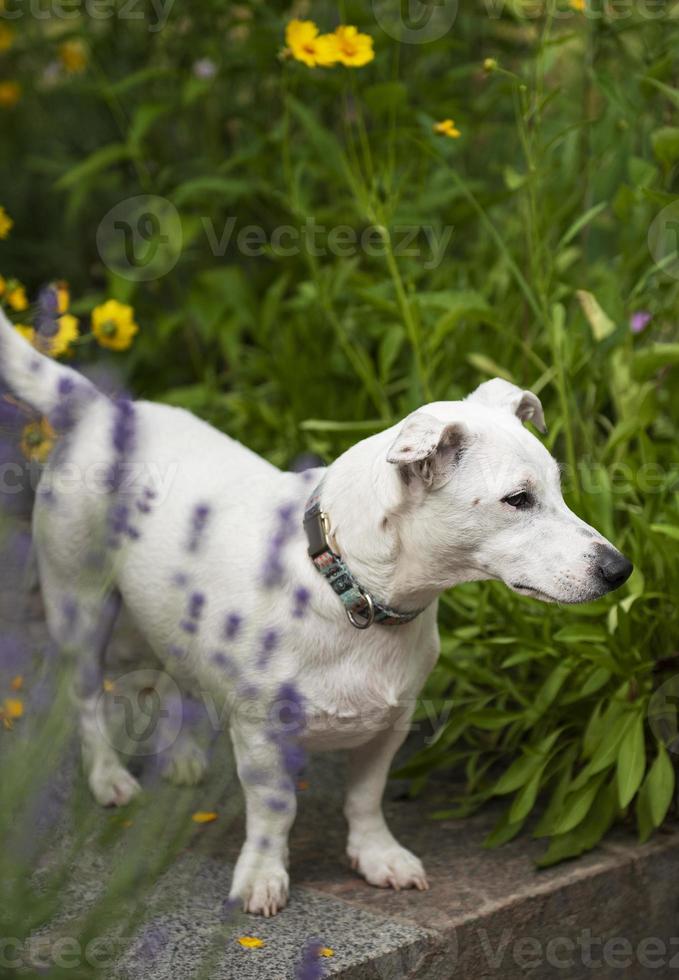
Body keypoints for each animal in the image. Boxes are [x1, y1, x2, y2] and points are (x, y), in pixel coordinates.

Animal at [0, 310, 632, 916]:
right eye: (518, 500)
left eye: (559, 489)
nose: (621, 569)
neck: (351, 588)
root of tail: (97, 409)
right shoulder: (261, 733)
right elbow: (275, 811)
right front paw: (263, 875)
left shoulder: (391, 722)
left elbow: (366, 797)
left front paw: (377, 856)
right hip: (79, 606)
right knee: (85, 698)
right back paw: (107, 776)